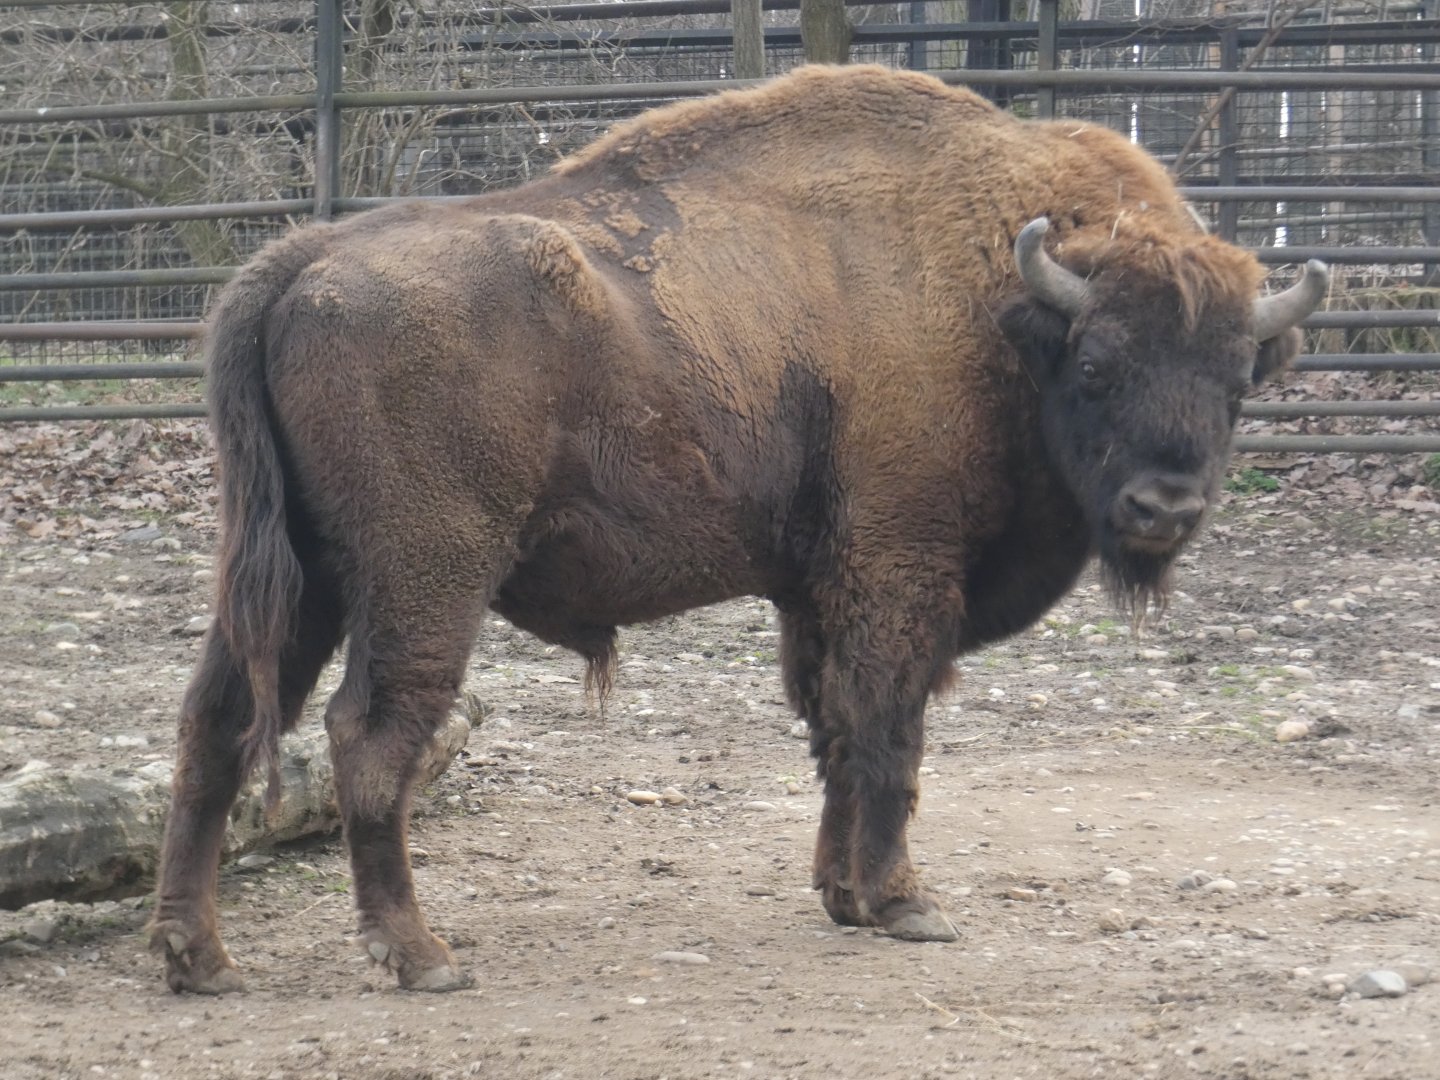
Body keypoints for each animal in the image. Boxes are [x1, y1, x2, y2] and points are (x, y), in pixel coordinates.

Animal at [151, 64, 1327, 993]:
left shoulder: (817, 592)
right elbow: (889, 730)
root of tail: (298, 264)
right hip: (421, 578)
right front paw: (906, 902)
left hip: (299, 573)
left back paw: (197, 958)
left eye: (1237, 383)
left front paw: (843, 895)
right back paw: (419, 956)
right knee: (368, 737)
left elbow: (837, 731)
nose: (1164, 508)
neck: (1001, 302)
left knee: (213, 722)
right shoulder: (901, 571)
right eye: (1096, 366)